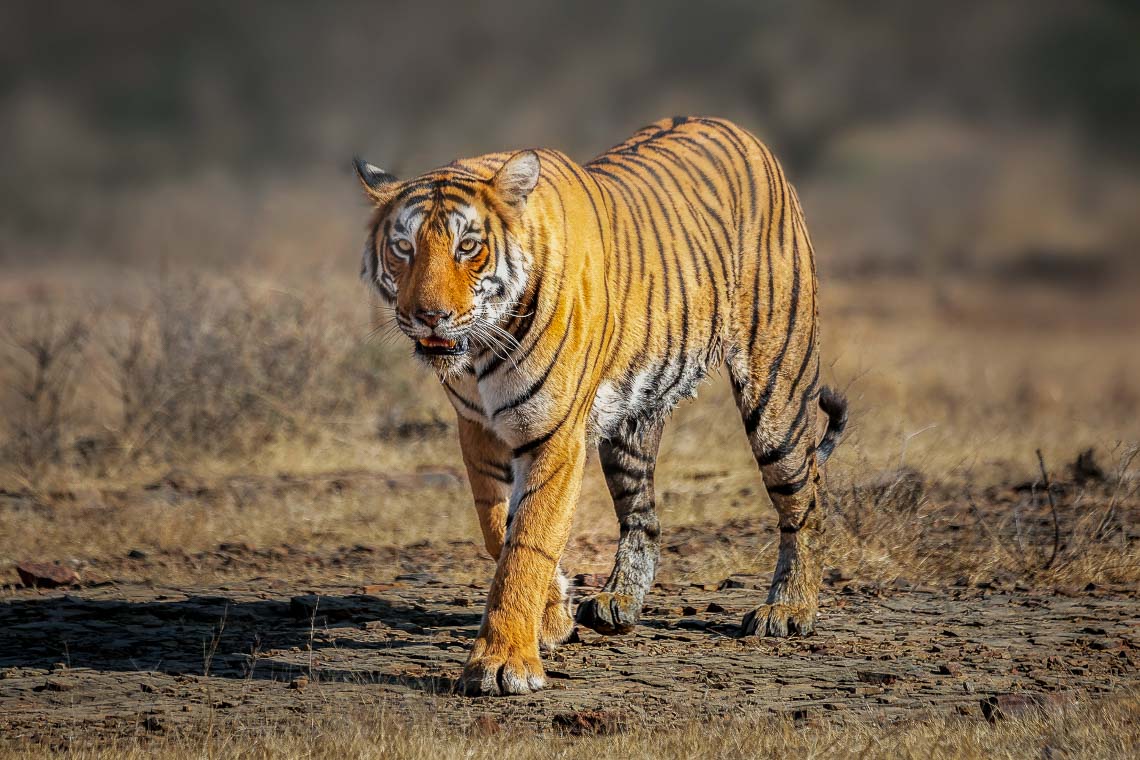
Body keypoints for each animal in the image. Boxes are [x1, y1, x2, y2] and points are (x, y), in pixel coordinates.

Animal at [353, 117, 848, 697]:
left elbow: (528, 543)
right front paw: (553, 615)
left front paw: (503, 663)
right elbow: (498, 528)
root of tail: (739, 129)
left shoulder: (554, 434)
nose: (428, 316)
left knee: (805, 499)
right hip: (629, 425)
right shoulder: (477, 430)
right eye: (403, 247)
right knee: (643, 516)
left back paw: (789, 610)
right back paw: (618, 602)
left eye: (467, 246)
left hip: (776, 391)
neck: (478, 353)